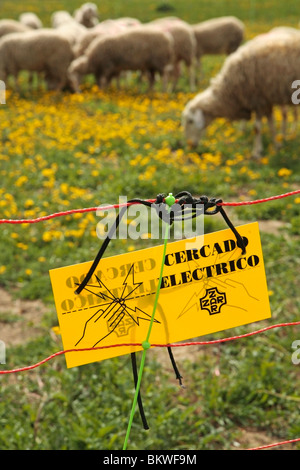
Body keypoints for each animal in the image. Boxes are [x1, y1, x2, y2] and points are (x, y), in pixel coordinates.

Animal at [182, 32, 300, 160]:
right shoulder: (266, 100)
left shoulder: (258, 99)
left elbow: (257, 128)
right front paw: (276, 146)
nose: (190, 145)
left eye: (190, 121)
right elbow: (271, 124)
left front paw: (256, 153)